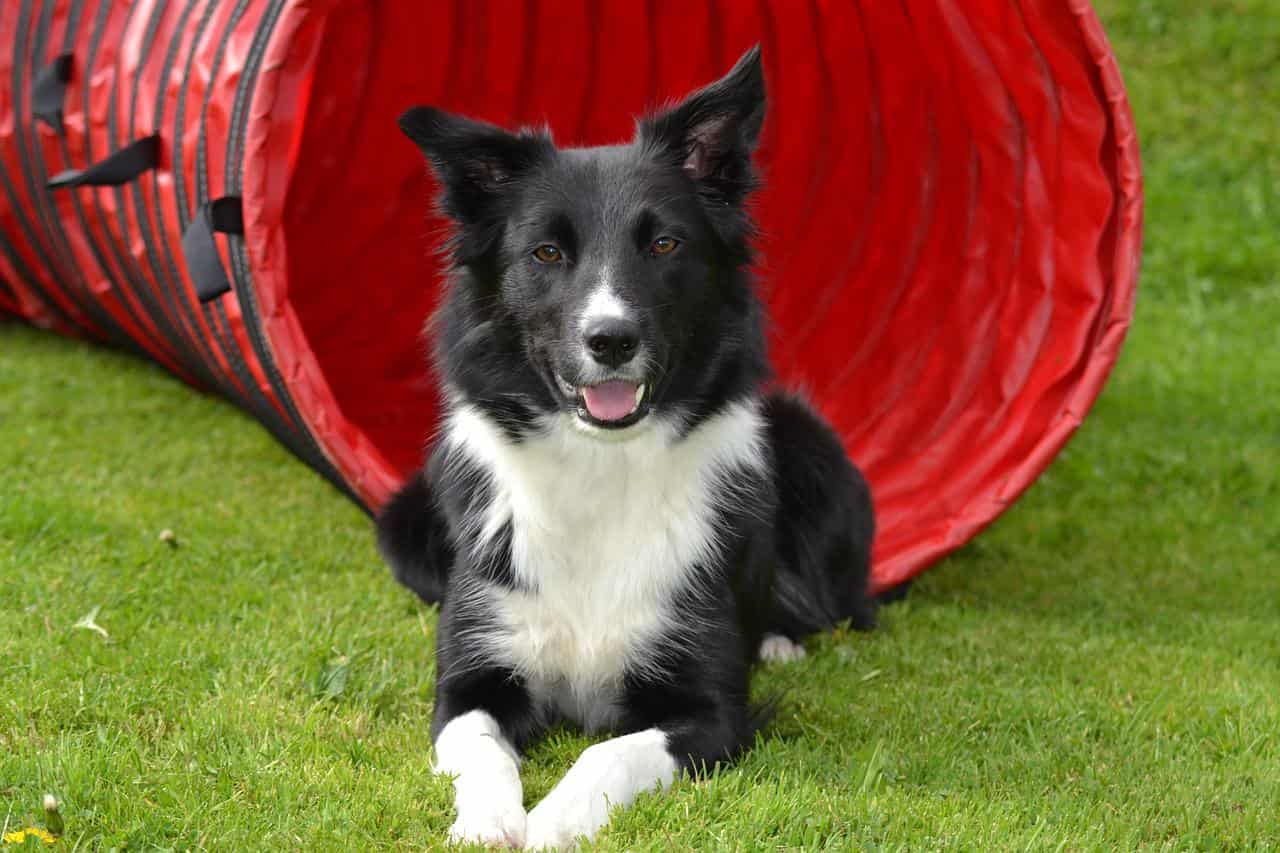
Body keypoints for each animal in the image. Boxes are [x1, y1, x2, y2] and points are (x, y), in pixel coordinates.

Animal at [376, 46, 880, 845]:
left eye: (665, 243)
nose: (610, 340)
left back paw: (780, 637)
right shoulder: (469, 682)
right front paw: (488, 823)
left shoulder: (708, 708)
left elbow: (608, 752)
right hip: (403, 525)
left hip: (816, 454)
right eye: (547, 252)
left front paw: (552, 823)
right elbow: (481, 748)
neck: (600, 463)